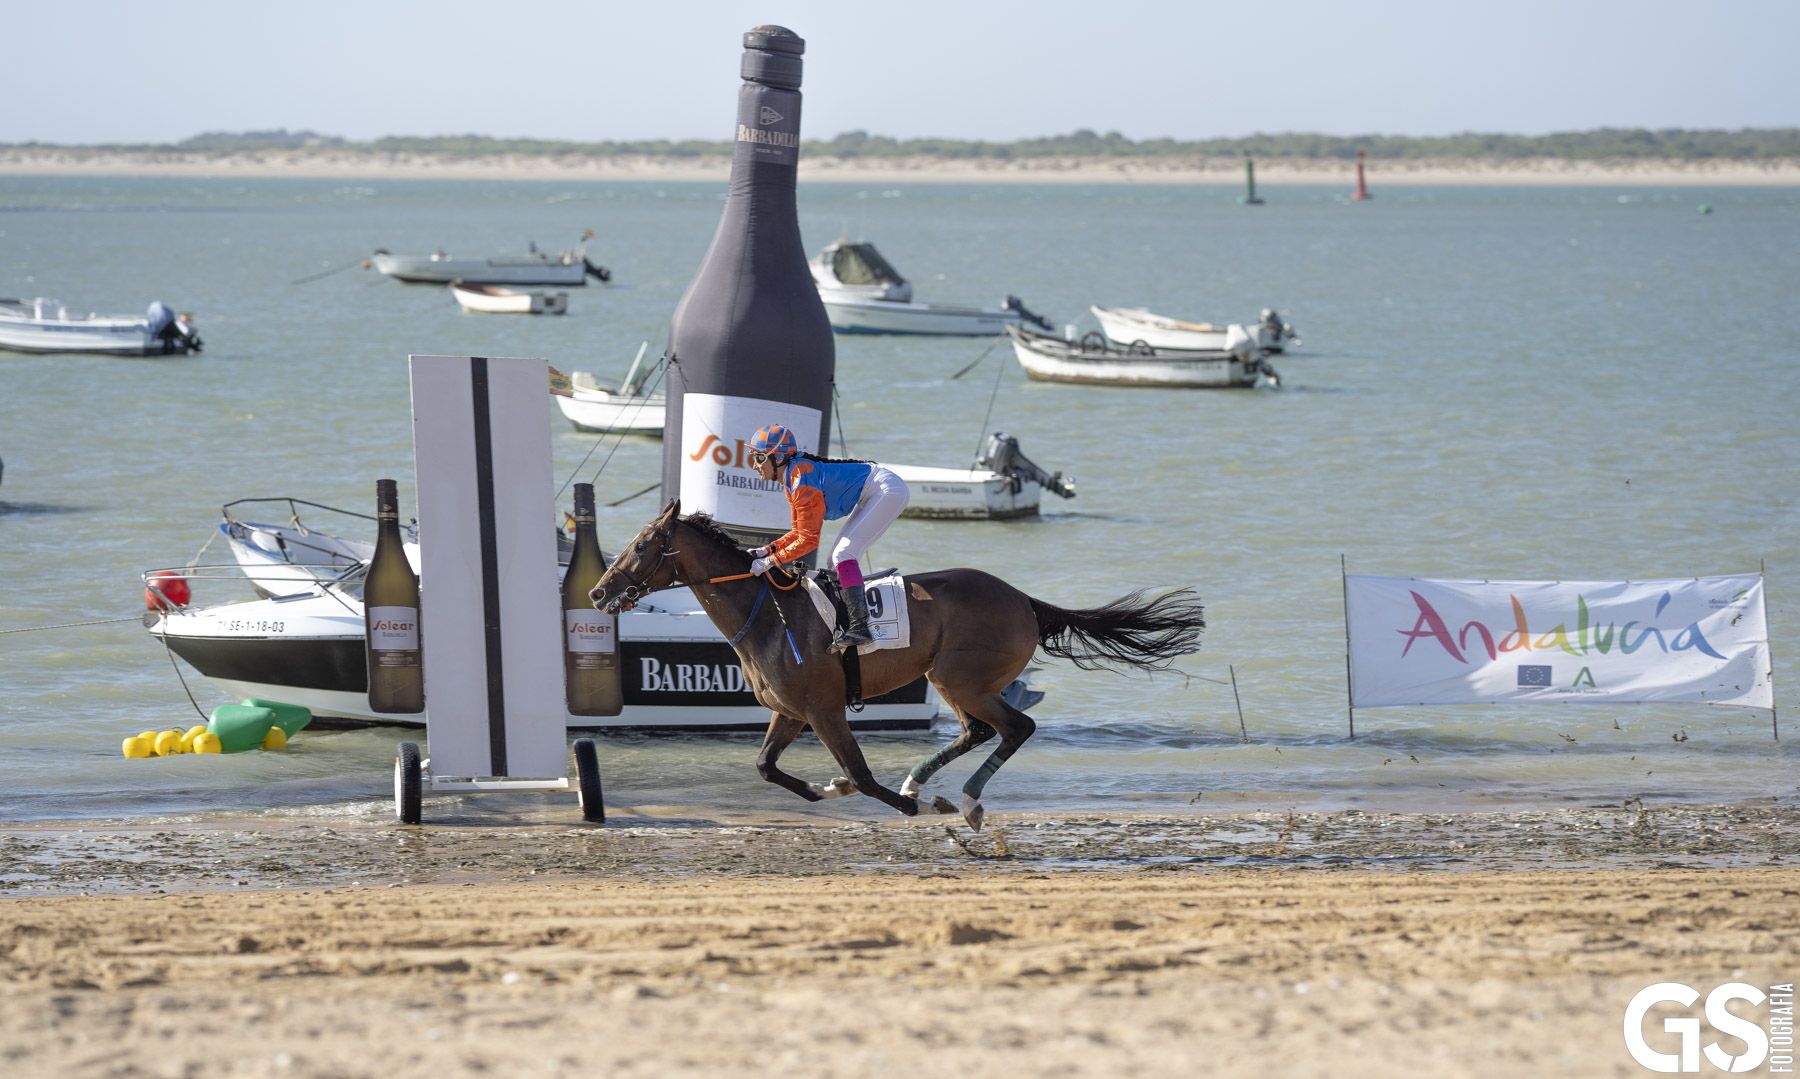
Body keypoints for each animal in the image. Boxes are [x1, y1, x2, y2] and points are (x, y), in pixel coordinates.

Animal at [594, 500, 1209, 832]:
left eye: (644, 544)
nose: (599, 592)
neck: (766, 615)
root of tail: (1024, 600)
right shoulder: (789, 712)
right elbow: (767, 768)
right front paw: (832, 788)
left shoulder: (824, 710)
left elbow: (865, 777)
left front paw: (896, 801)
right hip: (947, 679)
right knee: (979, 731)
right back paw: (926, 782)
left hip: (966, 679)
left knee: (1016, 727)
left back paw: (959, 798)